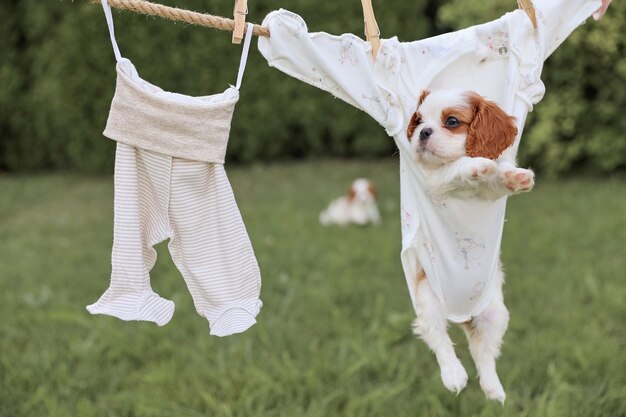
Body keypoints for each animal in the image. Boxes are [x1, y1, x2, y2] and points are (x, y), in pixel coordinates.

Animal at [404, 89, 532, 402]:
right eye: (418, 121)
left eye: (451, 121)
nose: (423, 133)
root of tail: (460, 315)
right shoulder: (436, 181)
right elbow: (454, 167)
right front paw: (475, 165)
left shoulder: (490, 196)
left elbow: (497, 178)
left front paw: (512, 176)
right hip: (428, 298)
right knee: (437, 336)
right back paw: (453, 374)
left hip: (496, 314)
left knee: (482, 351)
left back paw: (493, 388)